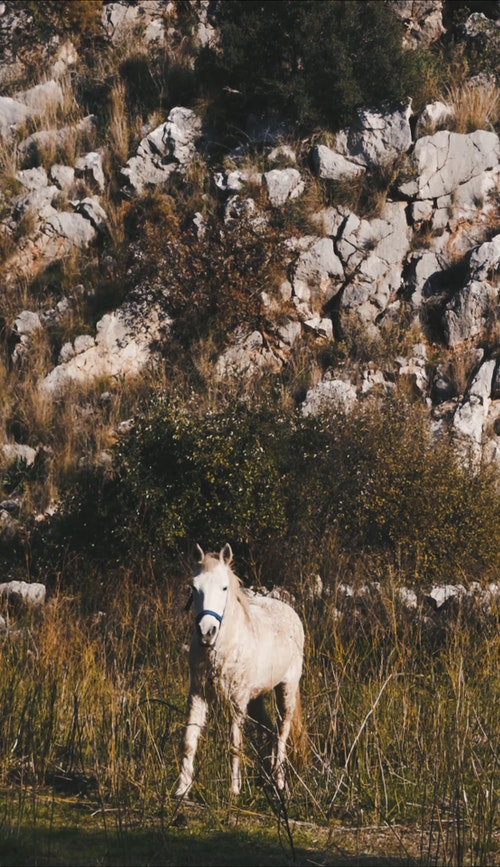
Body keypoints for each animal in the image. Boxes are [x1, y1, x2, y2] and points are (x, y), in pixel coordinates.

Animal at [176, 544, 304, 796]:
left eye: (224, 587)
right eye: (194, 587)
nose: (206, 632)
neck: (222, 648)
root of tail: (290, 611)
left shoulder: (237, 701)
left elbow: (234, 743)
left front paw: (234, 790)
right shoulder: (198, 694)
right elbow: (189, 738)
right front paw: (181, 789)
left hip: (285, 689)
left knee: (282, 731)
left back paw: (279, 782)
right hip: (256, 699)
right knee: (268, 729)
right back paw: (266, 775)